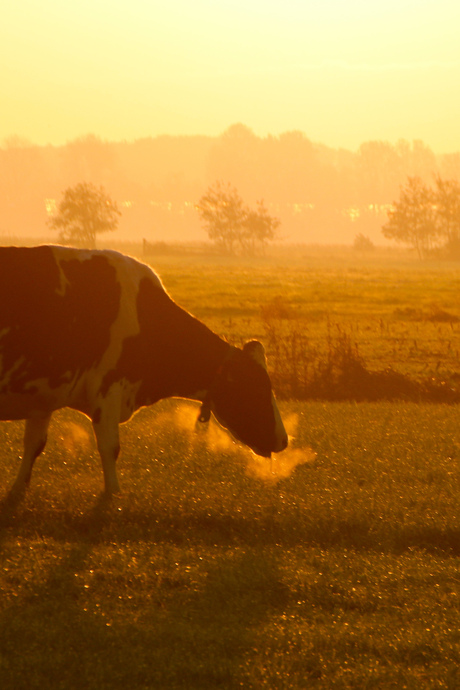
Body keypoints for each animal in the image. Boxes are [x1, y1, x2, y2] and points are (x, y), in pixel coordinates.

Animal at [0, 247, 288, 494]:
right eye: (257, 388)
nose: (284, 441)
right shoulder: (108, 389)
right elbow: (110, 447)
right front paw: (113, 494)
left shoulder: (43, 394)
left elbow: (34, 445)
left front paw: (19, 488)